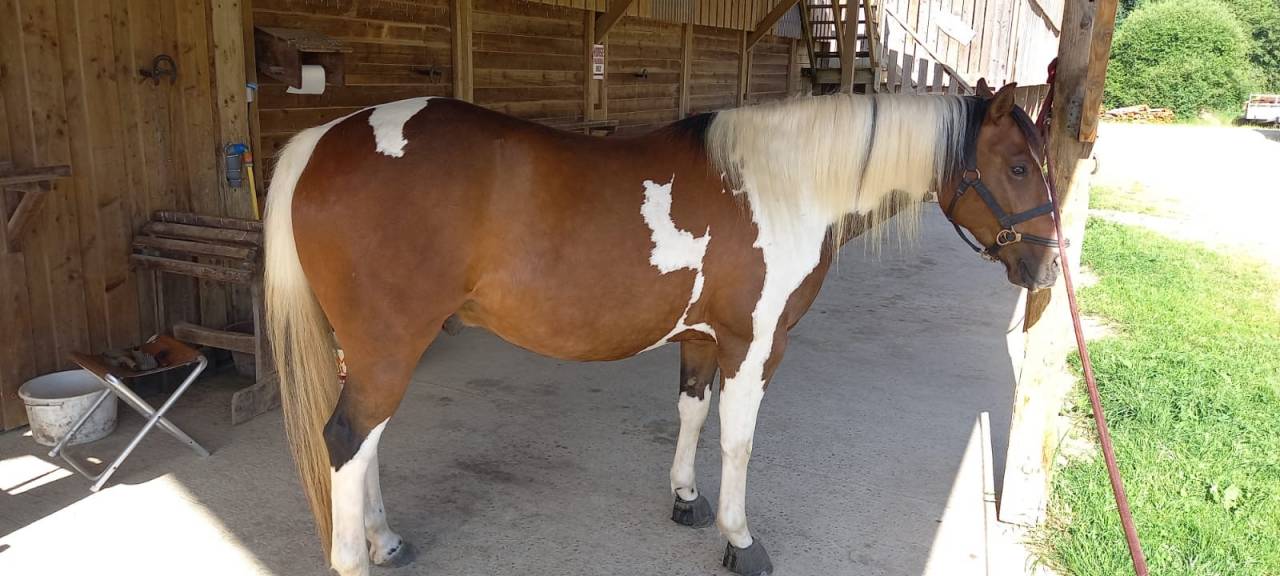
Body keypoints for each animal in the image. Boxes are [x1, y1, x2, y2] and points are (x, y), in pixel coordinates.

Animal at [263, 80, 1058, 576]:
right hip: (389, 347)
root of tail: (321, 139)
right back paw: (355, 556)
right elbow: (738, 441)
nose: (1048, 269)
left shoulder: (704, 341)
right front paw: (740, 540)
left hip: (372, 349)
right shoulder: (755, 347)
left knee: (364, 445)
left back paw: (384, 539)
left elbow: (692, 415)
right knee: (347, 440)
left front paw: (685, 500)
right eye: (1019, 166)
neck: (783, 186)